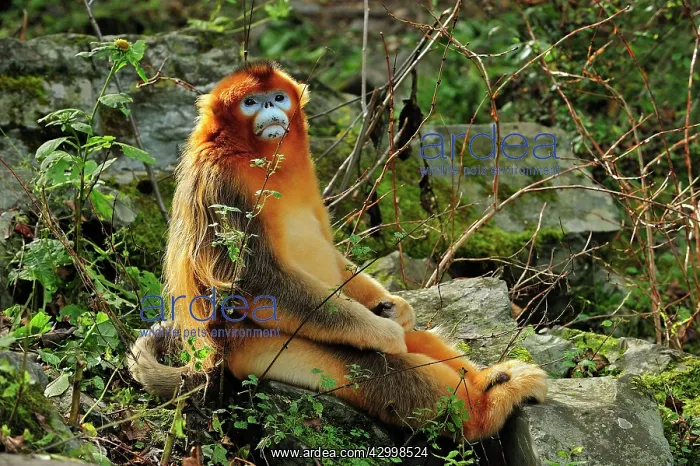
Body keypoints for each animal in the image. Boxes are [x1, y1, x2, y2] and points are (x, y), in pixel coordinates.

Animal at [128, 61, 547, 441]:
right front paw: (381, 330)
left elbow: (332, 254)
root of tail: (212, 360)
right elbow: (252, 280)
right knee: (373, 365)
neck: (248, 152)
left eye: (277, 97)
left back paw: (490, 379)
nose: (270, 110)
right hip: (266, 351)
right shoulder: (220, 181)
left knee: (414, 338)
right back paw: (484, 411)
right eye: (251, 102)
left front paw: (397, 308)